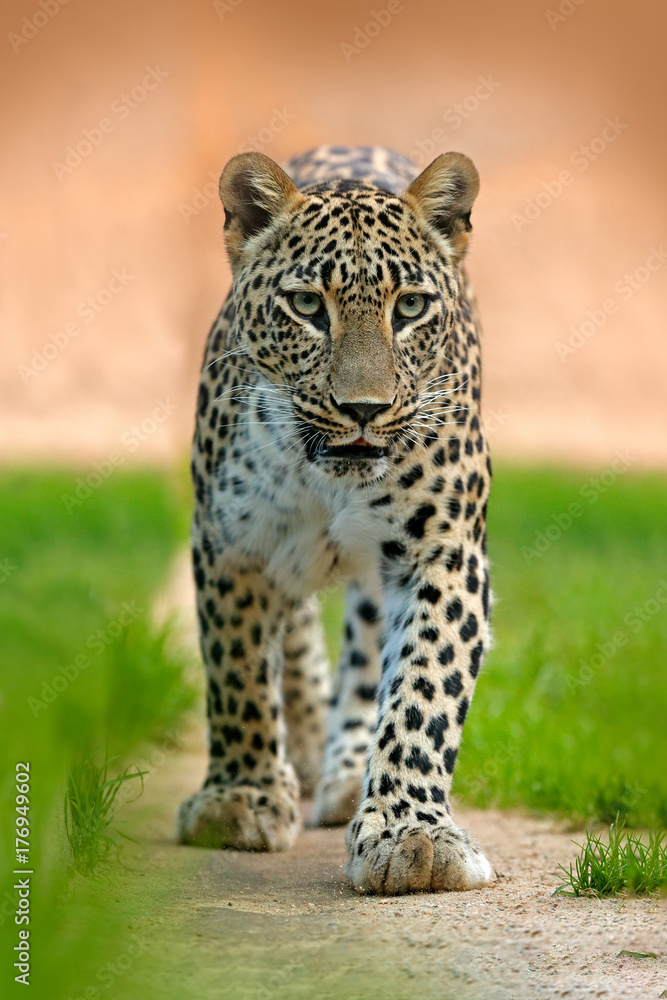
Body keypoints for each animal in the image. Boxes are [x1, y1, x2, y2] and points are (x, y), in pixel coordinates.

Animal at [177, 144, 495, 895]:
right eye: (305, 306)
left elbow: (423, 686)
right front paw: (240, 799)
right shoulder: (229, 544)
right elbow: (236, 670)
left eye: (409, 307)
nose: (363, 410)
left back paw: (349, 771)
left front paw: (411, 833)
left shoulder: (444, 547)